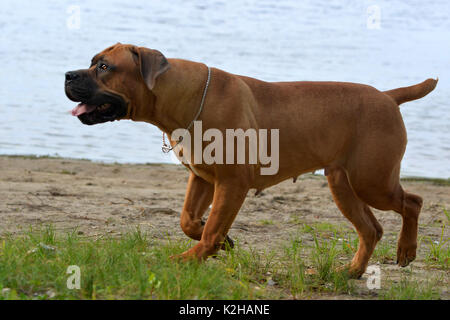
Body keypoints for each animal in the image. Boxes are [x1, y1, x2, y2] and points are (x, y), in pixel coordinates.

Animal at [65, 42, 438, 278]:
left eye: (104, 67)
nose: (68, 74)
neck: (183, 98)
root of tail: (388, 97)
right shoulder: (202, 178)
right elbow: (189, 220)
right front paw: (219, 242)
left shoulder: (232, 184)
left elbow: (212, 226)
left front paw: (192, 258)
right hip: (343, 184)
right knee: (371, 229)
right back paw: (352, 271)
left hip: (372, 180)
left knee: (413, 202)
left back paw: (406, 250)